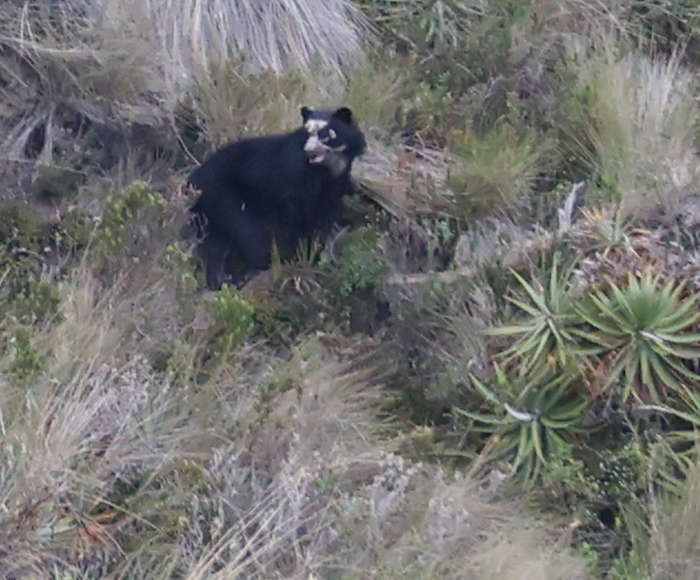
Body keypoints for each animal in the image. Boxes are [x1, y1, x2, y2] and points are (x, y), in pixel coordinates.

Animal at [188, 106, 367, 290]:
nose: (308, 150)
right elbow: (293, 215)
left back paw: (218, 280)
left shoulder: (335, 185)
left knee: (218, 241)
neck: (328, 168)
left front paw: (316, 255)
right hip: (226, 195)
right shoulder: (296, 176)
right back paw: (254, 269)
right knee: (247, 230)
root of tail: (195, 178)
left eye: (325, 134)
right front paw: (294, 257)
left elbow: (324, 216)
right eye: (307, 132)